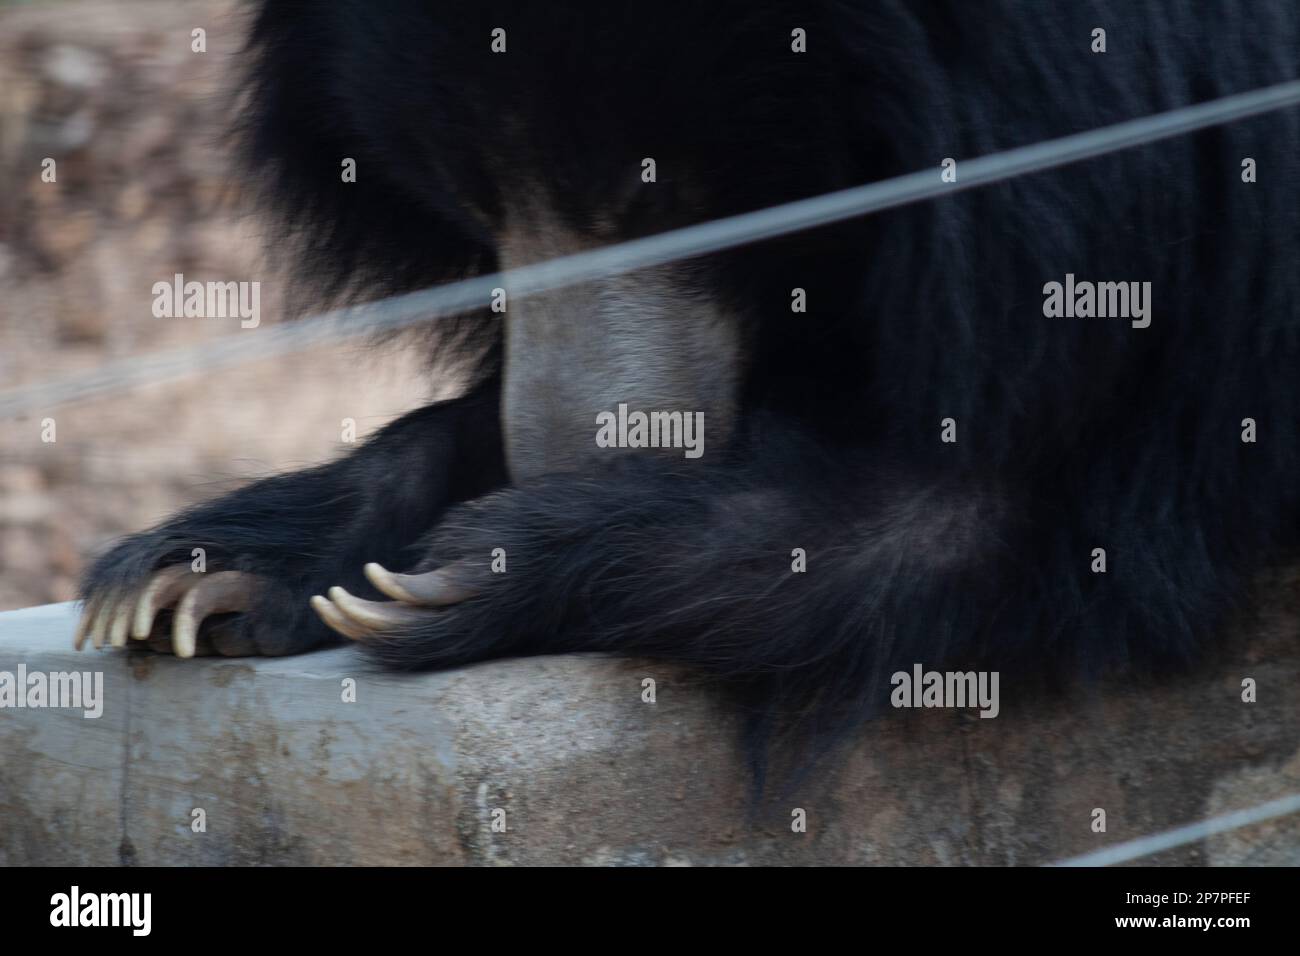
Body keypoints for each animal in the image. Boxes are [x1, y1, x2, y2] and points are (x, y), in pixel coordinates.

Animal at [76, 1, 1294, 754]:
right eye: (470, 194)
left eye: (656, 193)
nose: (569, 455)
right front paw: (205, 572)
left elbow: (1008, 516)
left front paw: (476, 569)